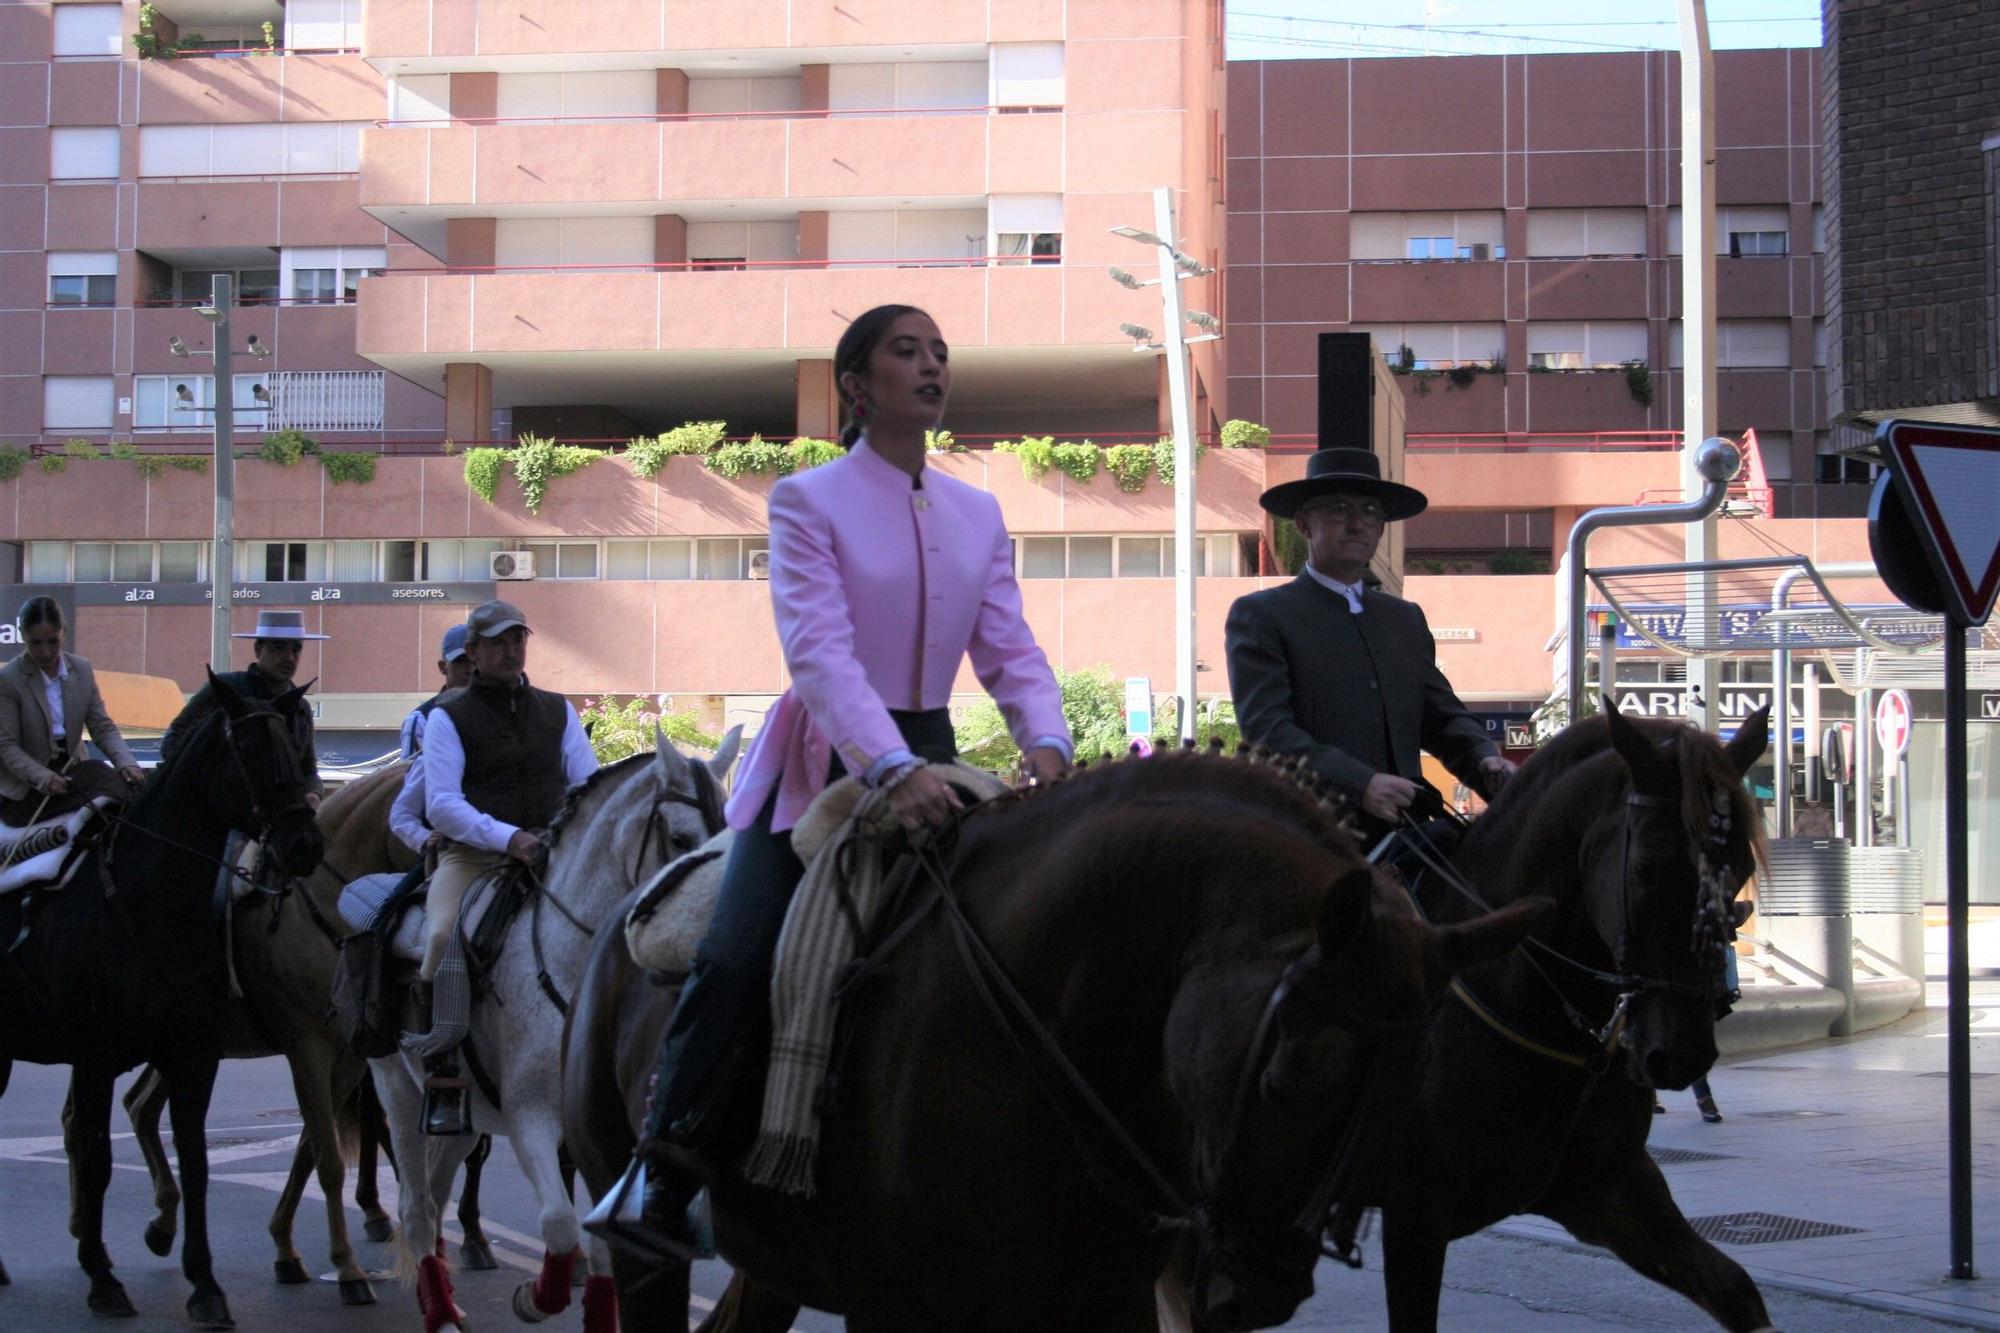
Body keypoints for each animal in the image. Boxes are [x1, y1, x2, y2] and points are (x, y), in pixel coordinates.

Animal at [0, 668, 320, 1320]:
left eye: (296, 748)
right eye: (252, 750)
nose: (304, 844)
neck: (143, 902)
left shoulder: (192, 1054)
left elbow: (196, 1161)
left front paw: (205, 1283)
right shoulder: (94, 1056)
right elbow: (97, 1157)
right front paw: (102, 1278)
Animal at [370, 732, 736, 1328]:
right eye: (680, 838)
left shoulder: (604, 1136)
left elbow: (602, 1242)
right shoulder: (531, 1116)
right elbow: (561, 1224)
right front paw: (537, 1297)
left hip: (461, 1117)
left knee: (436, 1190)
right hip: (397, 1089)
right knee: (415, 1206)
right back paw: (440, 1313)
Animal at [564, 752, 1544, 1320]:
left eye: (1402, 1093)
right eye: (1289, 1076)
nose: (1258, 1290)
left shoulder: (1102, 1301)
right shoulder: (904, 1305)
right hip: (645, 1248)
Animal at [1360, 700, 1784, 1320]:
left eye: (1739, 870)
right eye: (1645, 869)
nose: (1683, 1054)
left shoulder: (1609, 1192)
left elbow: (1735, 1290)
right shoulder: (1414, 1217)